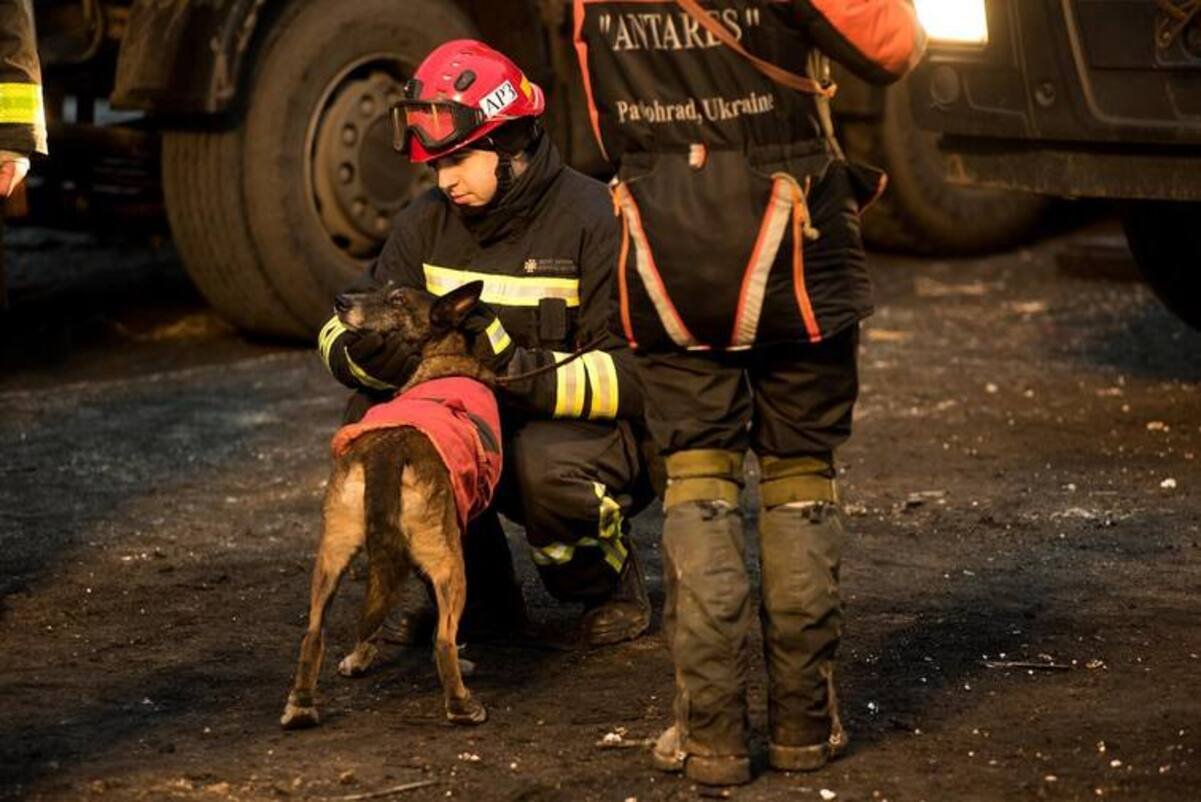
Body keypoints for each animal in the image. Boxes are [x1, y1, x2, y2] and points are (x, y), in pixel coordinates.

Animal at [283, 278, 499, 729]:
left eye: (396, 298)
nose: (340, 301)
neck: (445, 358)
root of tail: (389, 449)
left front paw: (360, 658)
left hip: (333, 555)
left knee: (315, 631)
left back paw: (301, 705)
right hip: (450, 565)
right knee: (442, 641)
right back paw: (462, 704)